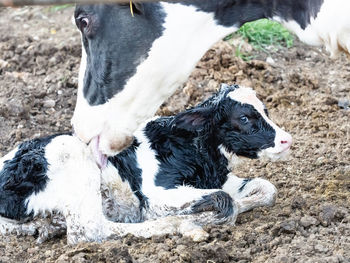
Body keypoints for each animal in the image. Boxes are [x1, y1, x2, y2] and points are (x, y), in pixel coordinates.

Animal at [0, 84, 292, 245]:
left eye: (266, 111)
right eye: (244, 118)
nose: (286, 139)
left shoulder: (221, 179)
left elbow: (267, 189)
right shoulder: (156, 192)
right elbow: (225, 202)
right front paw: (199, 217)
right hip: (69, 153)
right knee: (90, 232)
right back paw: (179, 225)